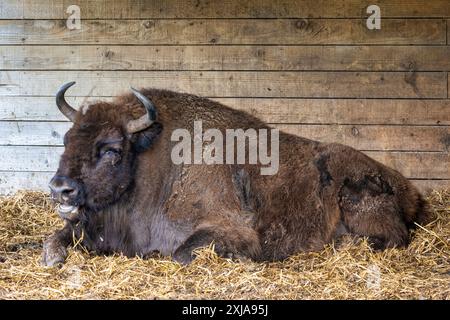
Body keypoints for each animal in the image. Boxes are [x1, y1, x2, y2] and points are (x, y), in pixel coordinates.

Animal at [42, 81, 432, 266]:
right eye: (67, 139)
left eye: (112, 149)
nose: (61, 188)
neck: (151, 159)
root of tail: (408, 188)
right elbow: (54, 240)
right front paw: (54, 257)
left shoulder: (230, 228)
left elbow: (182, 253)